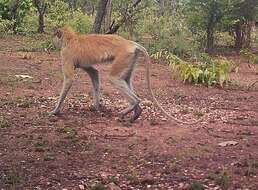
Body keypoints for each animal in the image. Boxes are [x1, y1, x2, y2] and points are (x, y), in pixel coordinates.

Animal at [52, 26, 202, 124]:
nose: (53, 38)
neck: (70, 38)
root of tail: (129, 43)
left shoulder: (66, 54)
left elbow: (69, 79)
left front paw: (55, 111)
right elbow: (94, 73)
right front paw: (97, 107)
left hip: (123, 56)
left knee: (114, 79)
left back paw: (133, 104)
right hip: (131, 58)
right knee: (125, 79)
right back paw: (137, 112)